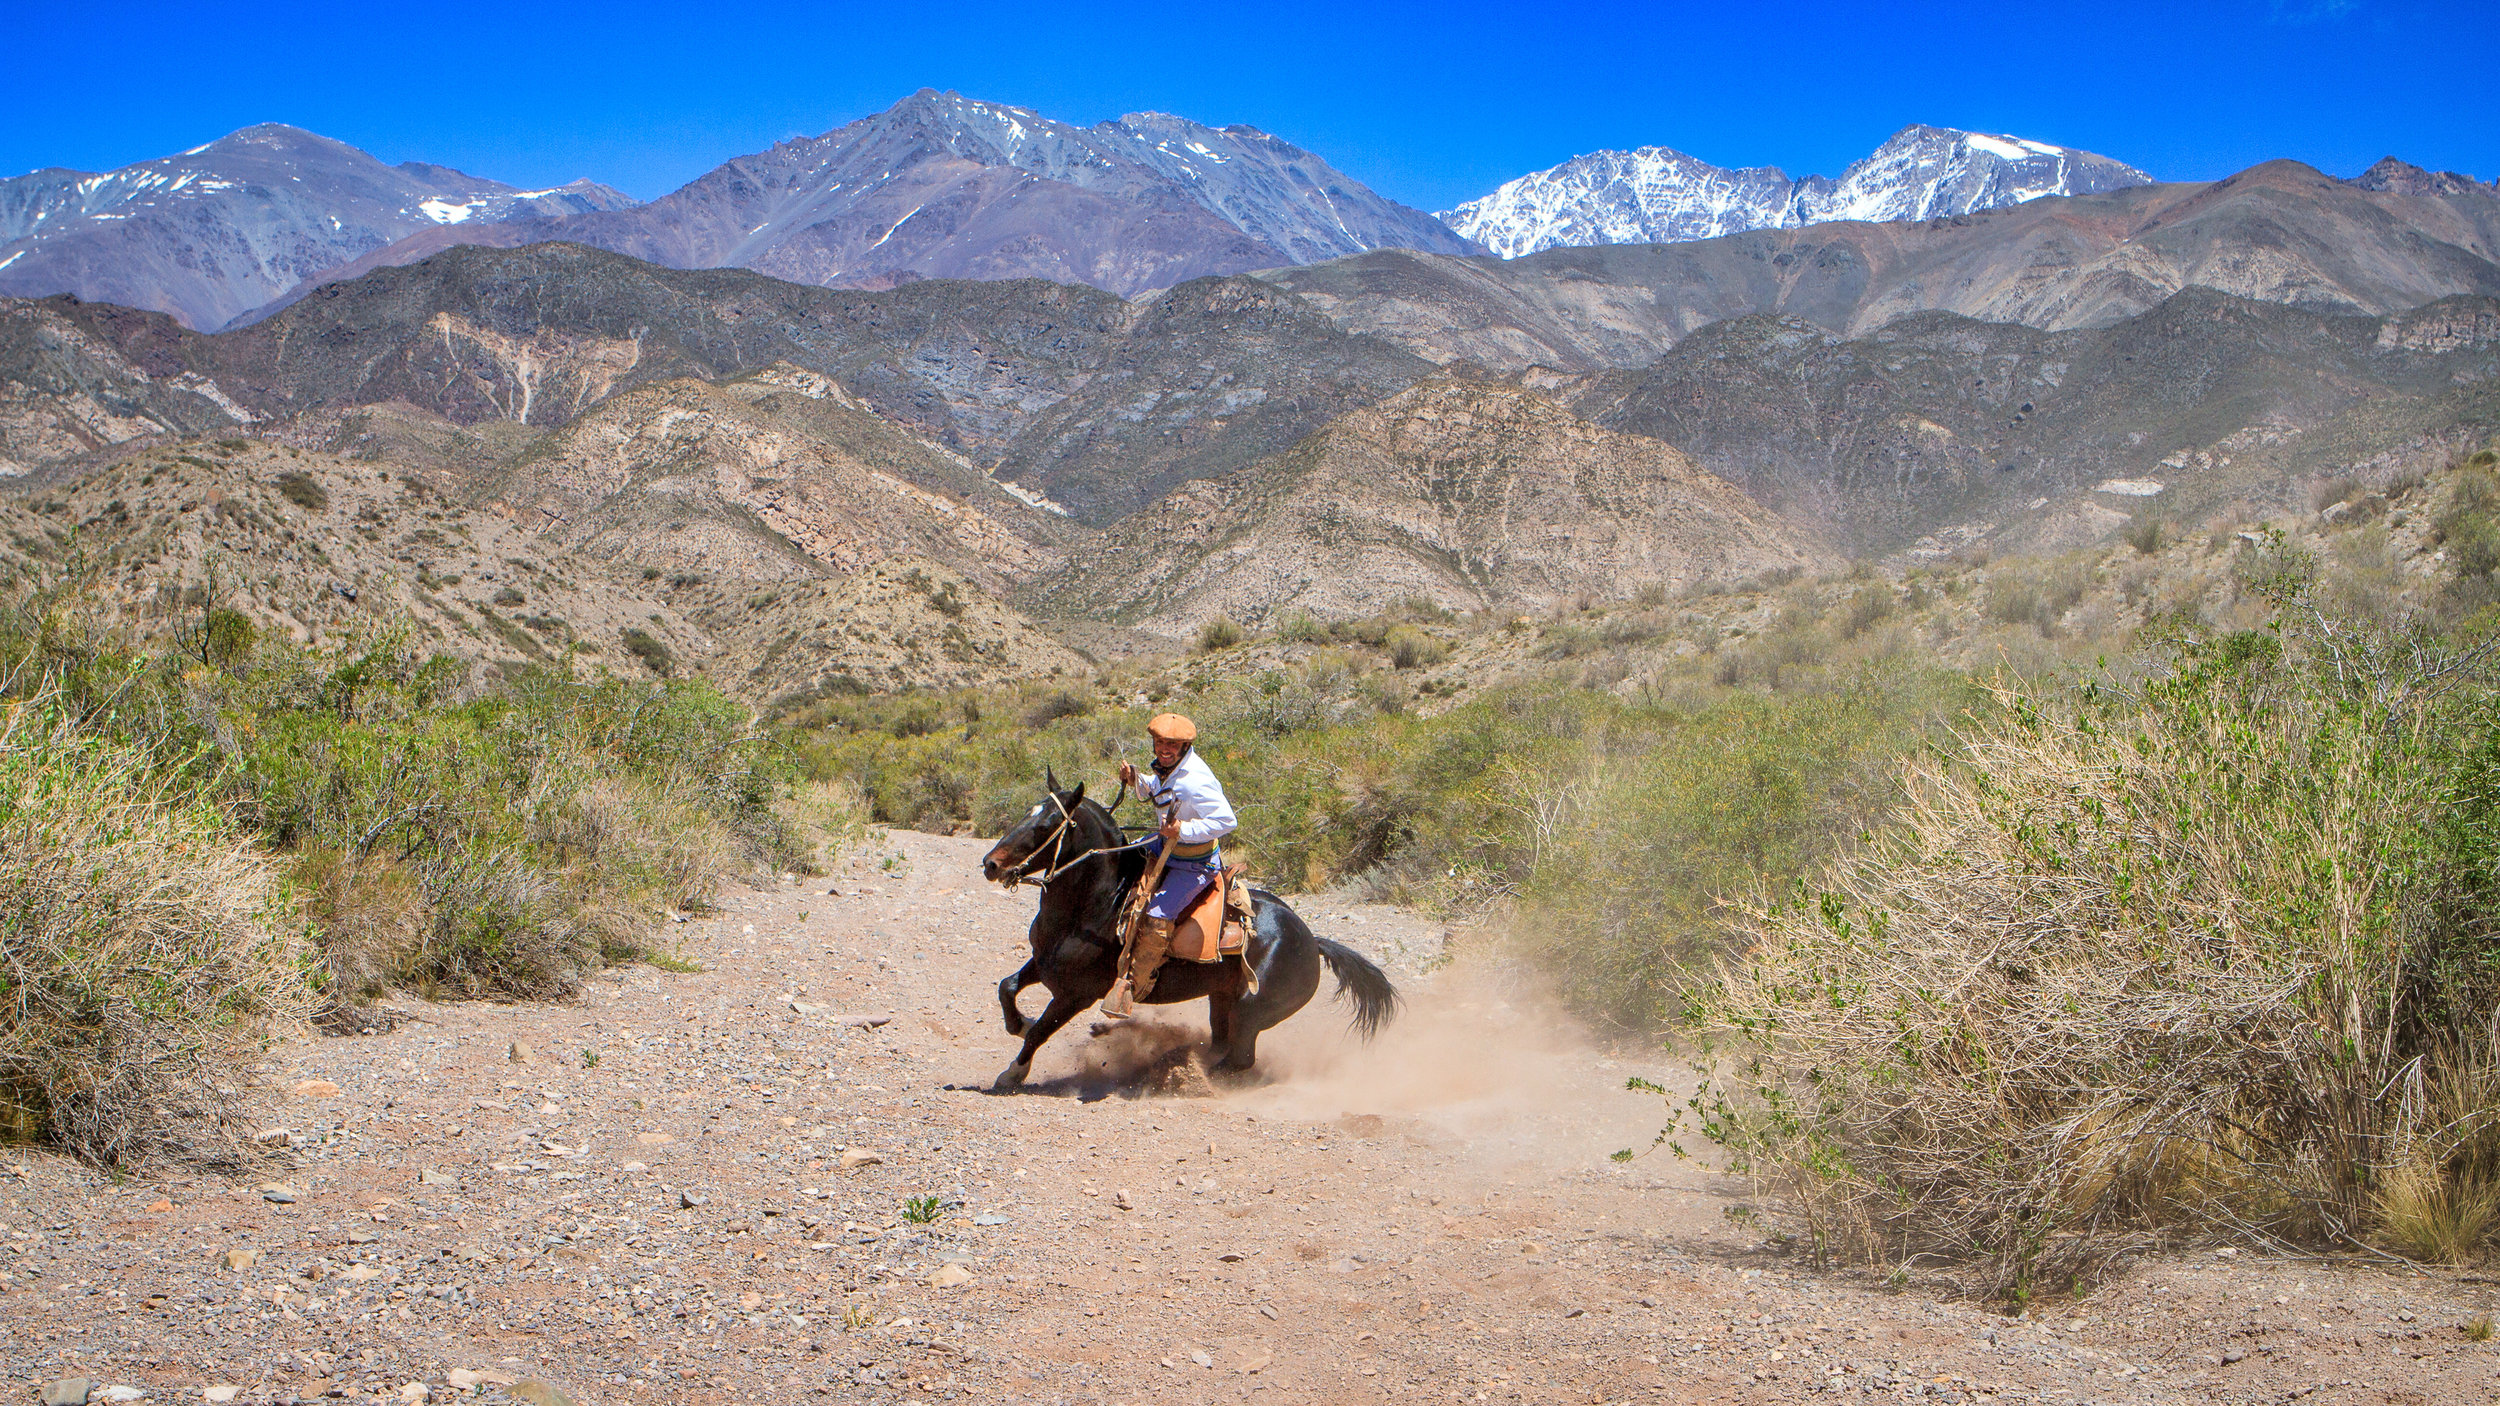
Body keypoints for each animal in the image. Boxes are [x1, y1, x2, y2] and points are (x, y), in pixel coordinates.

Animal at [975, 770, 1400, 1090]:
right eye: (1025, 813)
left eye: (1046, 824)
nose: (991, 864)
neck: (1097, 903)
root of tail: (1313, 941)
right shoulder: (1043, 963)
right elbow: (1006, 989)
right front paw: (1019, 1023)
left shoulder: (1076, 994)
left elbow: (1040, 1032)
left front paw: (1013, 1073)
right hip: (1222, 998)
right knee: (1222, 1044)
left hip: (1252, 1009)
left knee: (1239, 1058)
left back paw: (1178, 1072)